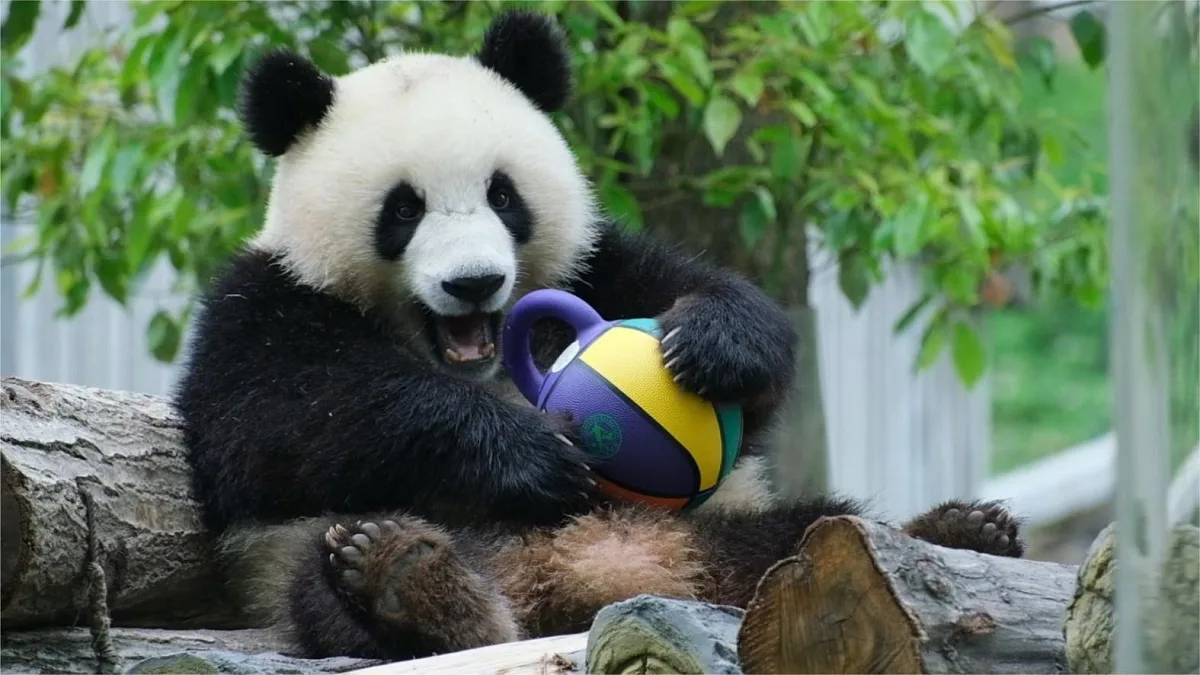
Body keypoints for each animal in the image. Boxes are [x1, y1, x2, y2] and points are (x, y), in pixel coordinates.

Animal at [173, 9, 1025, 662]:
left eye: (503, 194)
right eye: (403, 208)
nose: (475, 282)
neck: (477, 362)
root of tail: (594, 583)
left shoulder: (596, 265)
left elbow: (740, 353)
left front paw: (714, 346)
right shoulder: (263, 303)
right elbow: (276, 422)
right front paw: (530, 453)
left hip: (726, 528)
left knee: (813, 532)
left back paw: (959, 532)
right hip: (305, 555)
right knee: (325, 583)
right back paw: (412, 582)